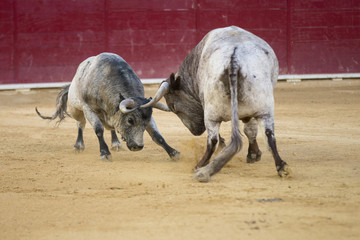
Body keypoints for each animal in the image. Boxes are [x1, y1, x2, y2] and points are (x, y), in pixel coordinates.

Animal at [36, 52, 180, 161]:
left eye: (146, 121)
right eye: (130, 120)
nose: (137, 146)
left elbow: (157, 135)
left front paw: (173, 152)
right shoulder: (88, 109)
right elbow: (98, 130)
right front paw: (104, 153)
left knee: (111, 127)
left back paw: (115, 143)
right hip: (75, 108)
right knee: (80, 124)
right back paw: (79, 146)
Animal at [142, 25, 292, 182]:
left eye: (173, 107)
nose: (195, 131)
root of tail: (234, 60)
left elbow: (248, 130)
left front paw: (252, 154)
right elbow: (250, 130)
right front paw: (253, 155)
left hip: (215, 113)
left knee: (213, 140)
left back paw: (200, 166)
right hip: (264, 110)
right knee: (269, 135)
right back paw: (282, 167)